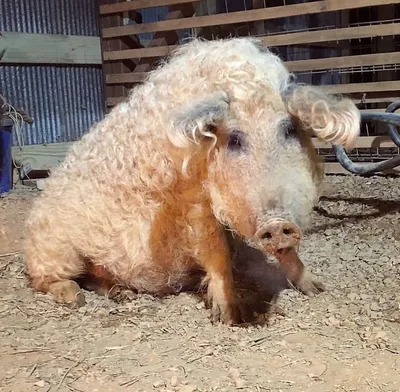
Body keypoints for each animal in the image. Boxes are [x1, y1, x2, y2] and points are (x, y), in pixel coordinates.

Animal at [23, 37, 360, 324]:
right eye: (234, 139)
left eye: (289, 129)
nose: (277, 224)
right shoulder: (193, 203)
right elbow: (216, 252)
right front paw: (229, 318)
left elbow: (287, 252)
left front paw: (317, 289)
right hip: (57, 250)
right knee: (47, 279)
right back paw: (73, 297)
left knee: (96, 279)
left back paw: (124, 294)